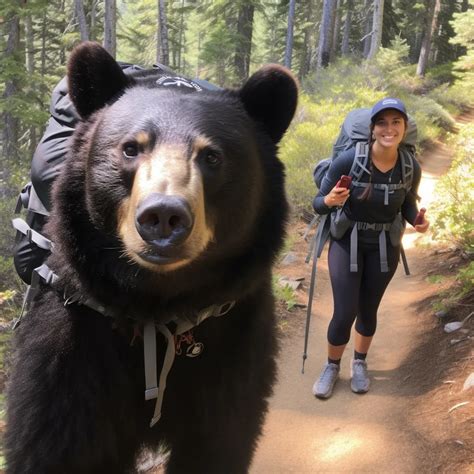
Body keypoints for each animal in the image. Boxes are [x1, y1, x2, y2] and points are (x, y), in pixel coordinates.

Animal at [5, 41, 296, 474]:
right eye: (130, 148)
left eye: (212, 157)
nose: (163, 216)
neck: (155, 306)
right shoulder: (75, 334)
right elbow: (56, 440)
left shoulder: (233, 337)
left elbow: (219, 440)